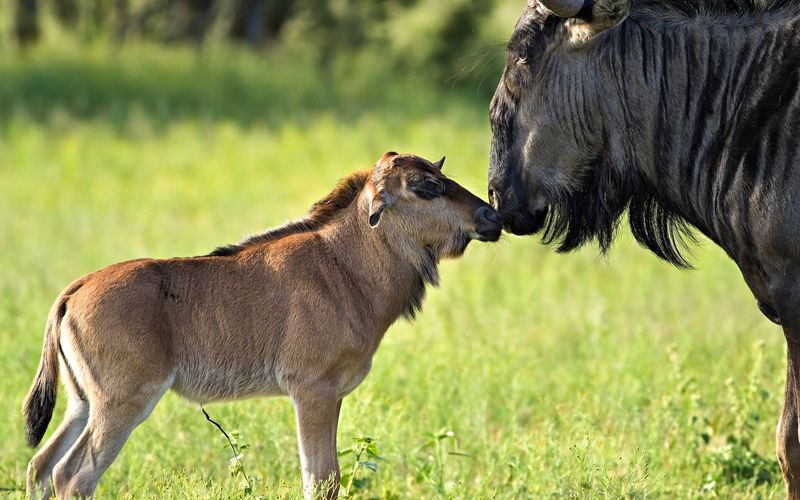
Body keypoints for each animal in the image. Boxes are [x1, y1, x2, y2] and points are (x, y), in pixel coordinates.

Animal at [23, 152, 500, 500]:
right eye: (426, 186)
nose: (491, 216)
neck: (344, 266)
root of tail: (74, 292)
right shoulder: (312, 391)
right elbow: (320, 481)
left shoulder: (332, 395)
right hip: (122, 405)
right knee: (73, 476)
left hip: (82, 403)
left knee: (41, 466)